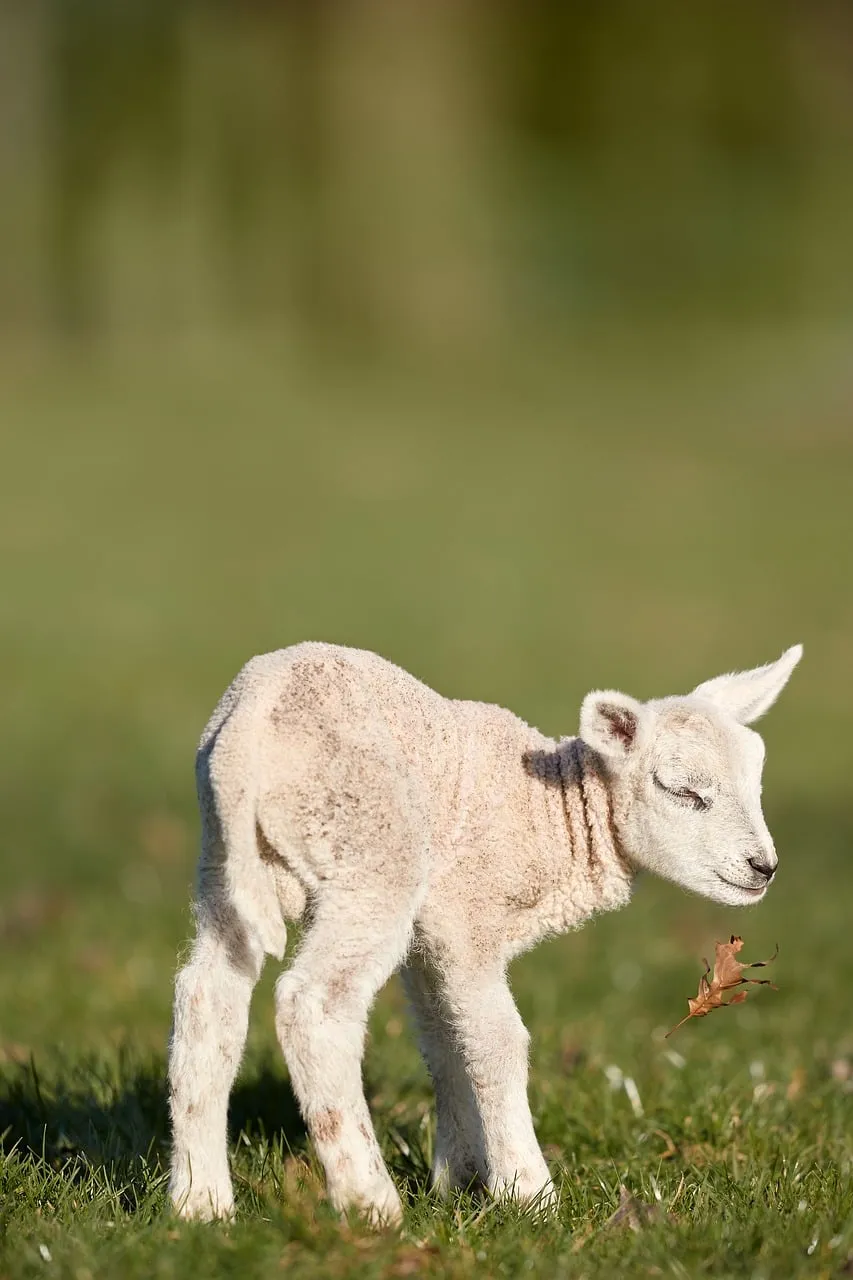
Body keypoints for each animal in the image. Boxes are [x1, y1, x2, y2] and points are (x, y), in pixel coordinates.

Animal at [168, 641, 802, 1224]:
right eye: (684, 791)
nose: (764, 867)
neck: (553, 816)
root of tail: (252, 721)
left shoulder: (428, 939)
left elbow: (446, 1042)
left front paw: (460, 1177)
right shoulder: (462, 917)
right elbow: (497, 1042)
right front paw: (528, 1193)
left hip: (227, 862)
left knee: (207, 995)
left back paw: (201, 1203)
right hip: (368, 851)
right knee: (315, 1004)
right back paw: (370, 1203)